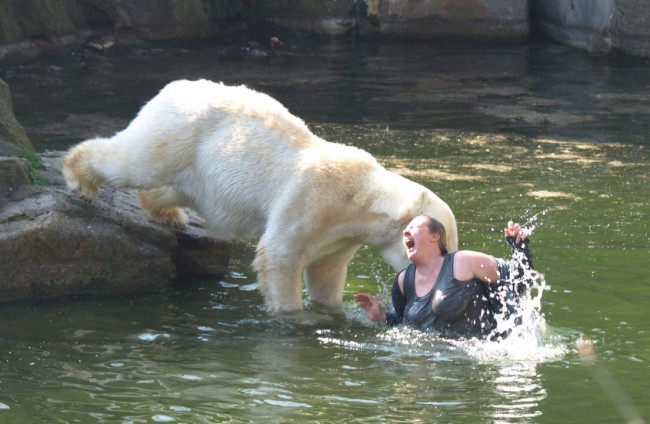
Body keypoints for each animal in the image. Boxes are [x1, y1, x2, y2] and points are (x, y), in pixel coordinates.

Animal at [60, 78, 456, 312]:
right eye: (444, 244)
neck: (359, 198)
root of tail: (172, 87)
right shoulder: (312, 200)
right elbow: (279, 255)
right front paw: (292, 316)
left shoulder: (341, 238)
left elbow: (325, 273)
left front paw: (330, 312)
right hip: (179, 131)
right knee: (136, 161)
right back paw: (80, 179)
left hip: (198, 167)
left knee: (175, 187)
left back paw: (168, 214)